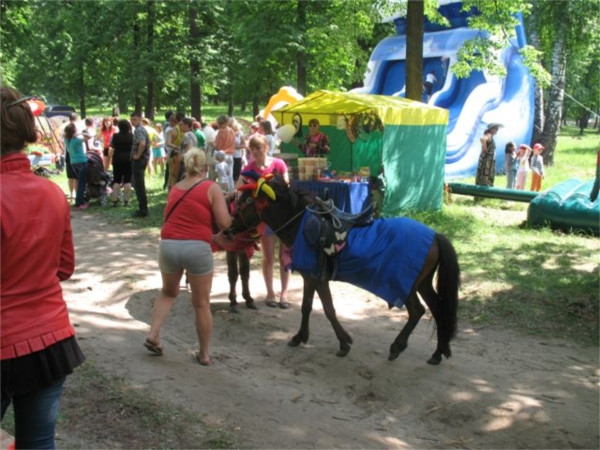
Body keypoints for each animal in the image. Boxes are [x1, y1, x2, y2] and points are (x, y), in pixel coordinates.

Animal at [227, 174, 462, 364]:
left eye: (246, 201)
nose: (230, 227)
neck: (301, 224)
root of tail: (435, 236)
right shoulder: (309, 278)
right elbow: (306, 307)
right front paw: (300, 337)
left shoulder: (318, 279)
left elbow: (329, 310)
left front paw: (343, 342)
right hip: (422, 283)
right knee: (437, 308)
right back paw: (438, 352)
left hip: (408, 285)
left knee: (417, 311)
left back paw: (398, 346)